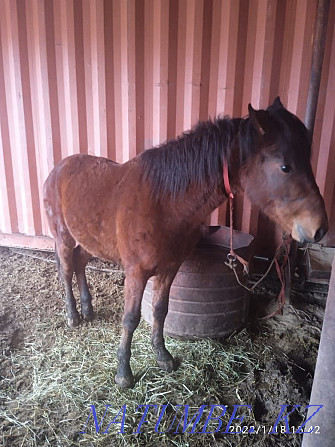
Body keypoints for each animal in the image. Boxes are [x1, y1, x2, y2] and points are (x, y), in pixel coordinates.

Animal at [44, 98, 328, 388]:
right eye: (285, 166)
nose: (319, 229)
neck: (162, 202)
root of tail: (59, 168)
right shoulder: (136, 273)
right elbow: (131, 319)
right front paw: (124, 373)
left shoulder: (170, 268)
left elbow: (160, 310)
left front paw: (163, 357)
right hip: (64, 238)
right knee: (66, 270)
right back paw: (73, 316)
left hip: (88, 241)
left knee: (80, 265)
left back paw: (87, 309)